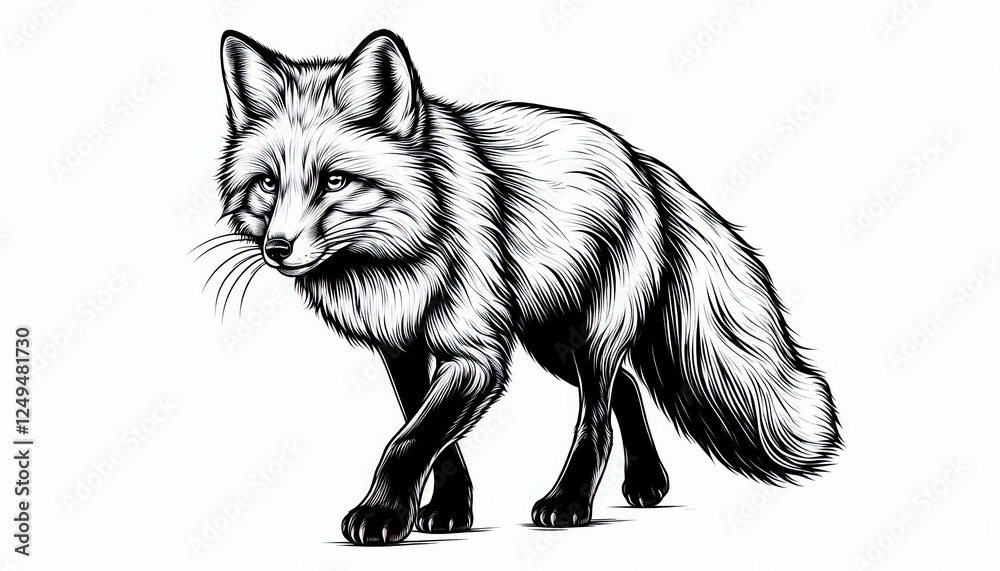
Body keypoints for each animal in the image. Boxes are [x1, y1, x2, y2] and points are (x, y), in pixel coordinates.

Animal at [208, 29, 841, 545]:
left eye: (335, 181)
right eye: (267, 183)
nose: (277, 249)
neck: (393, 262)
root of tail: (638, 158)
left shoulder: (478, 355)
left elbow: (407, 441)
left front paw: (383, 514)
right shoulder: (404, 350)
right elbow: (432, 436)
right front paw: (448, 509)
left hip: (586, 337)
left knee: (598, 414)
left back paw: (571, 502)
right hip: (550, 340)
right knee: (626, 389)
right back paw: (646, 482)